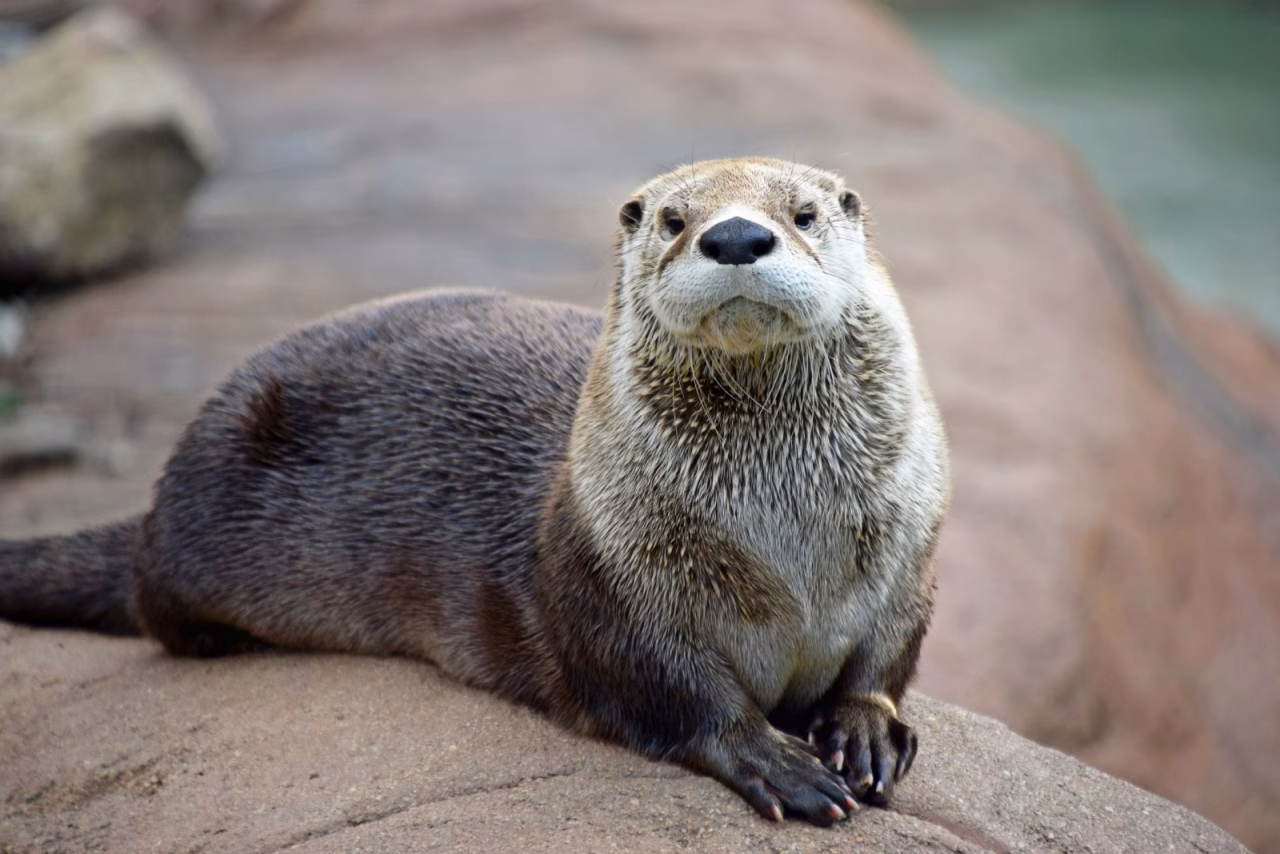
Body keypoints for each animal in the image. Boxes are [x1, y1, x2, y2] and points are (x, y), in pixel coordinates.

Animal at [0, 158, 949, 826]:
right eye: (675, 221)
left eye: (803, 214)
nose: (738, 236)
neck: (785, 541)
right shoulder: (607, 574)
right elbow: (665, 685)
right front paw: (773, 758)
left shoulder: (911, 545)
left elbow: (890, 651)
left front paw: (862, 726)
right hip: (193, 528)